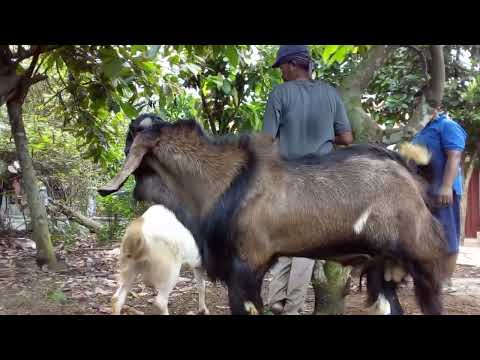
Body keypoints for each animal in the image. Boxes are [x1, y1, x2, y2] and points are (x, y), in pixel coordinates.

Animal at [99, 117, 452, 316]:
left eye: (131, 135)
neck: (223, 182)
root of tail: (413, 178)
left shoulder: (246, 268)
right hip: (382, 268)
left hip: (424, 263)